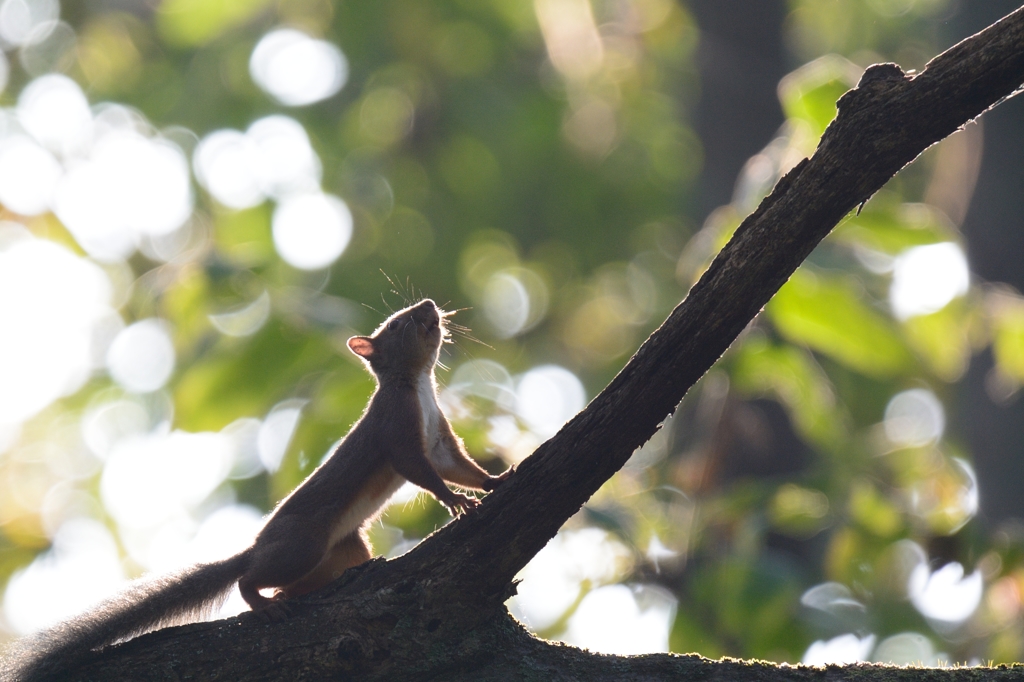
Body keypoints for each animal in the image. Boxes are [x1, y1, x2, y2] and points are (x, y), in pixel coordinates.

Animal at [1, 299, 507, 679]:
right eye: (399, 323)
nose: (429, 305)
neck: (417, 384)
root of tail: (258, 546)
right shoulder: (396, 429)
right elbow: (421, 471)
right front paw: (457, 501)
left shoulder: (438, 438)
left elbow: (456, 465)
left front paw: (493, 481)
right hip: (301, 545)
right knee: (250, 577)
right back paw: (261, 601)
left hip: (344, 551)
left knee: (304, 581)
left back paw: (284, 598)